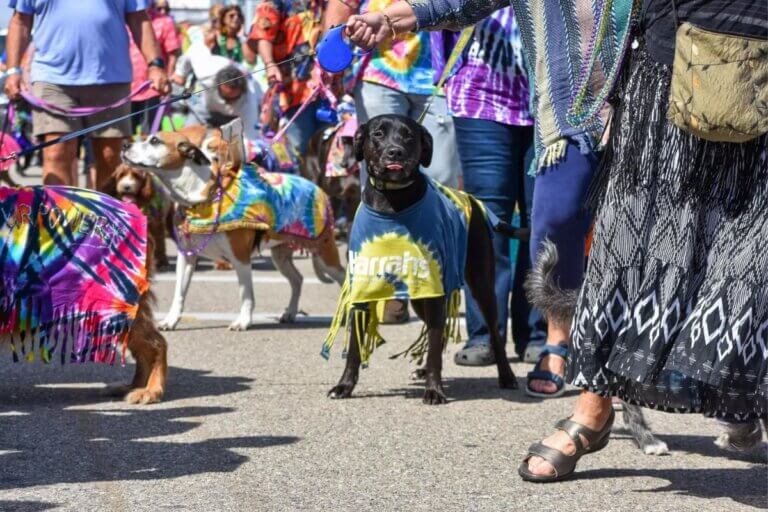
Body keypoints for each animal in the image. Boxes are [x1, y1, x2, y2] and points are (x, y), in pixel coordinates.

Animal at [121, 124, 346, 332]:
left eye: (155, 141)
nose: (124, 144)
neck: (201, 196)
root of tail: (317, 189)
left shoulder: (240, 257)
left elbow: (246, 294)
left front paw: (243, 321)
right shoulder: (186, 258)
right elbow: (179, 294)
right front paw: (171, 320)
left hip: (326, 254)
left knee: (344, 278)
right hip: (281, 255)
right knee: (297, 279)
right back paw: (290, 312)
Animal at [328, 115, 520, 404]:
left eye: (409, 136)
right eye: (378, 134)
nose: (395, 152)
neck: (392, 202)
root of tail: (473, 201)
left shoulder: (434, 287)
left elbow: (435, 346)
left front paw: (434, 390)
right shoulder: (363, 286)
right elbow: (354, 348)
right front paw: (344, 385)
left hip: (480, 286)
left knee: (491, 334)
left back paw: (506, 376)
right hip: (421, 297)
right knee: (434, 331)